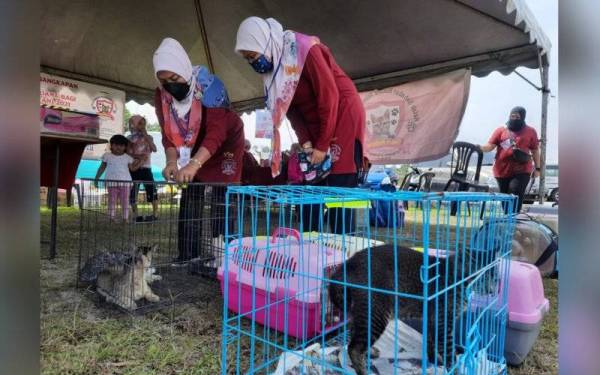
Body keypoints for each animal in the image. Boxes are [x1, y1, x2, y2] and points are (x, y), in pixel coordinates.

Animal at [328, 245, 464, 374]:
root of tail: (348, 264)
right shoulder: (442, 319)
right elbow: (447, 350)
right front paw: (453, 368)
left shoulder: (432, 318)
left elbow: (430, 340)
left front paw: (433, 359)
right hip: (376, 311)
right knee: (354, 347)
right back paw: (363, 370)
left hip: (360, 311)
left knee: (354, 333)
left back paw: (369, 351)